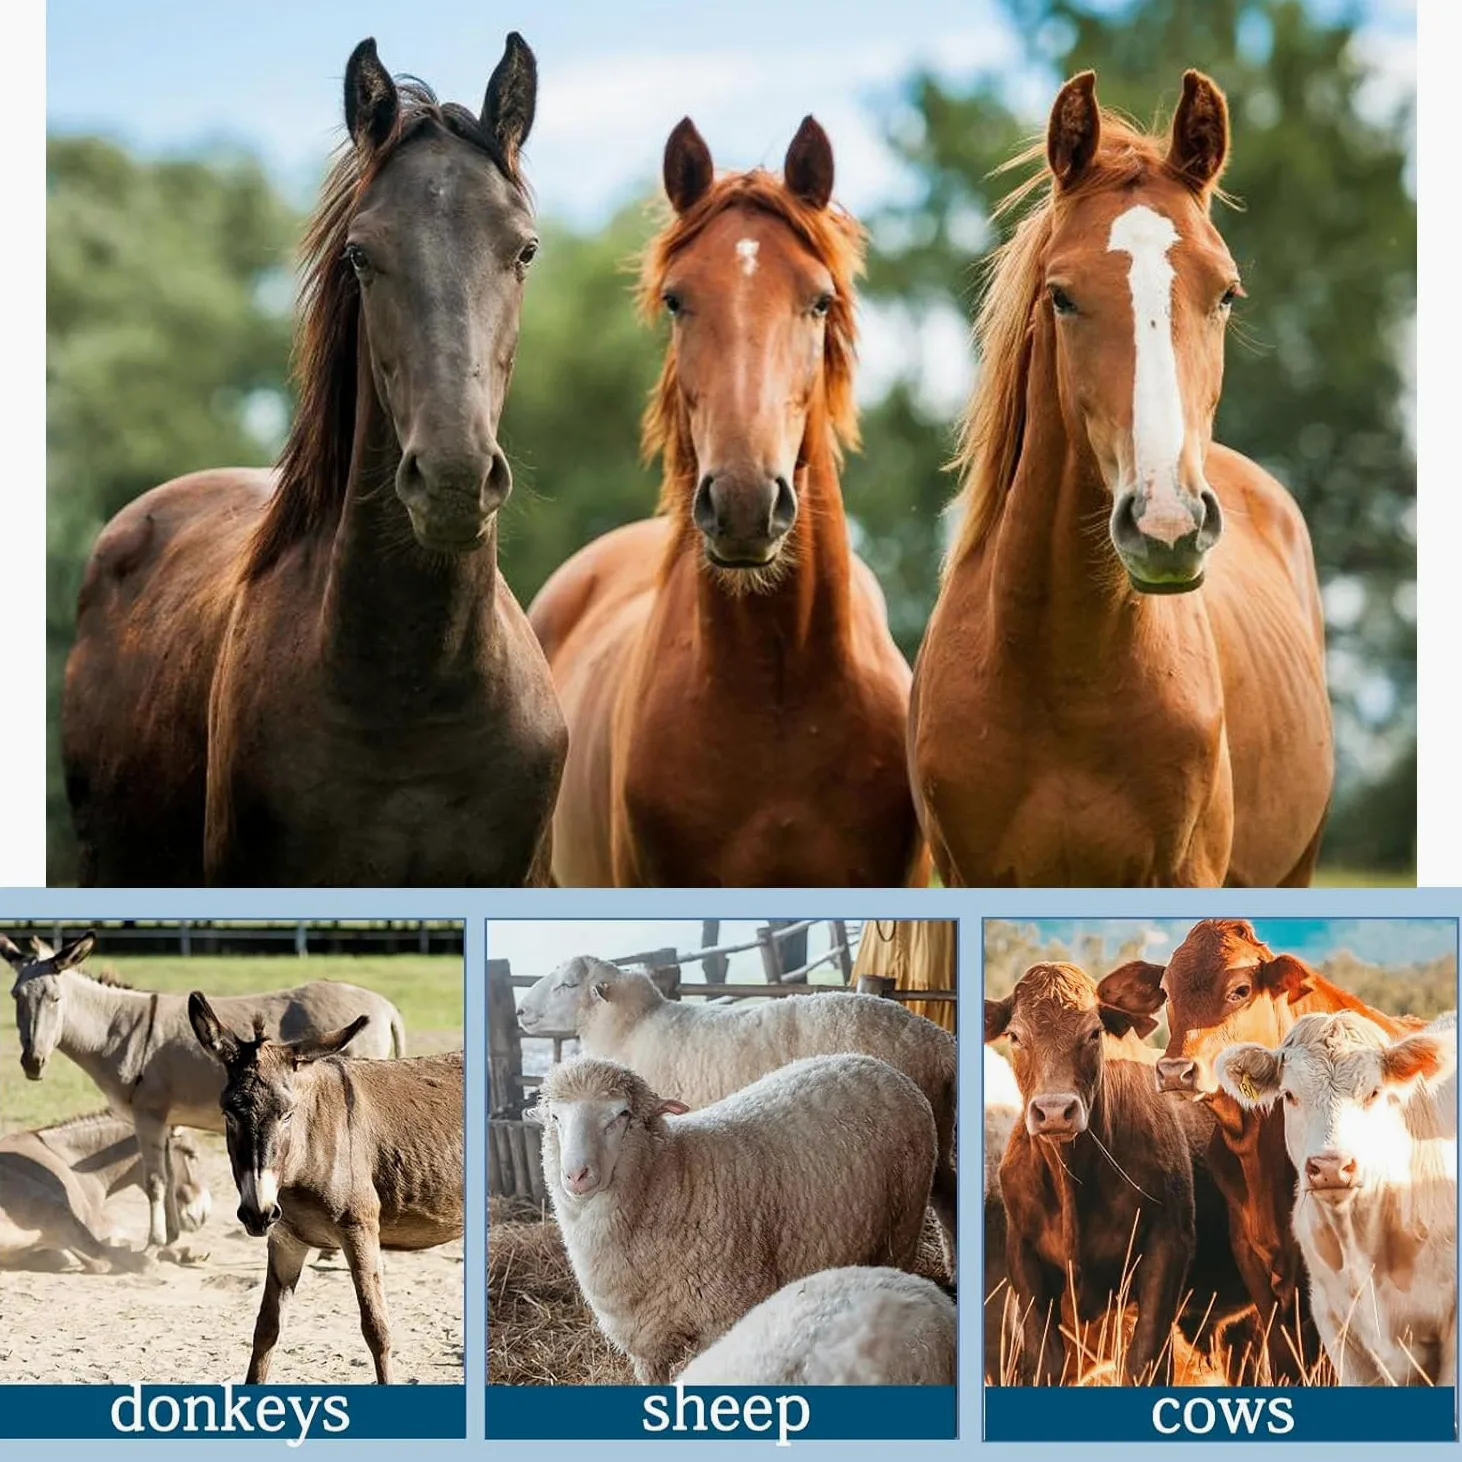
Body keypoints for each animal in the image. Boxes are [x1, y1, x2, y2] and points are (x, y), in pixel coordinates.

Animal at [0, 1111, 209, 1272]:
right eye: (191, 1153)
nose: (204, 1214)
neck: (70, 1159)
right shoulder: (94, 1223)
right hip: (54, 1208)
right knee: (102, 1260)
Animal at [6, 931, 401, 1246]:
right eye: (15, 997)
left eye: (56, 999)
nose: (32, 1063)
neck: (118, 1029)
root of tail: (387, 1006)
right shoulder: (165, 1121)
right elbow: (168, 1177)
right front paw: (172, 1238)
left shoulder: (147, 1115)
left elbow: (154, 1180)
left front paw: (154, 1243)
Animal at [188, 994, 464, 1384]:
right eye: (229, 1114)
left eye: (287, 1114)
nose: (258, 1213)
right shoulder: (286, 1240)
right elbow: (266, 1329)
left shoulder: (360, 1230)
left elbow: (376, 1329)